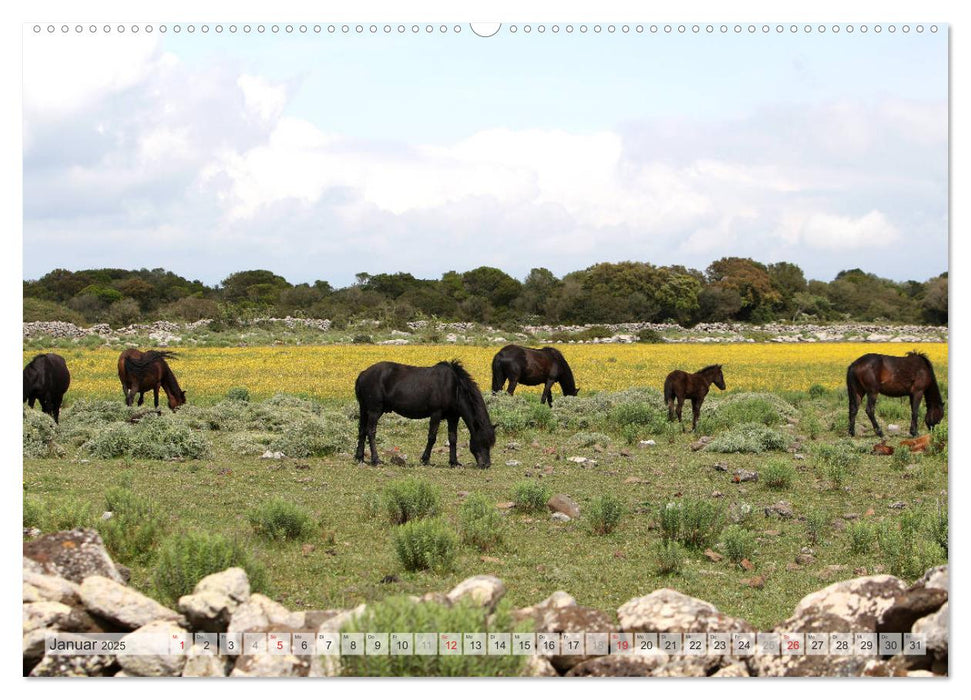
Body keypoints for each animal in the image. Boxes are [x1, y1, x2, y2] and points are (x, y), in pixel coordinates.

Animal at [354, 358, 498, 468]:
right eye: (483, 441)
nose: (486, 464)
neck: (454, 387)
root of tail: (362, 374)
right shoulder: (436, 414)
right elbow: (432, 437)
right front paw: (426, 459)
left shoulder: (453, 417)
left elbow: (453, 438)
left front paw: (454, 462)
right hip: (374, 411)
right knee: (371, 432)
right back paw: (376, 460)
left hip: (364, 409)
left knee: (362, 431)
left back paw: (360, 458)